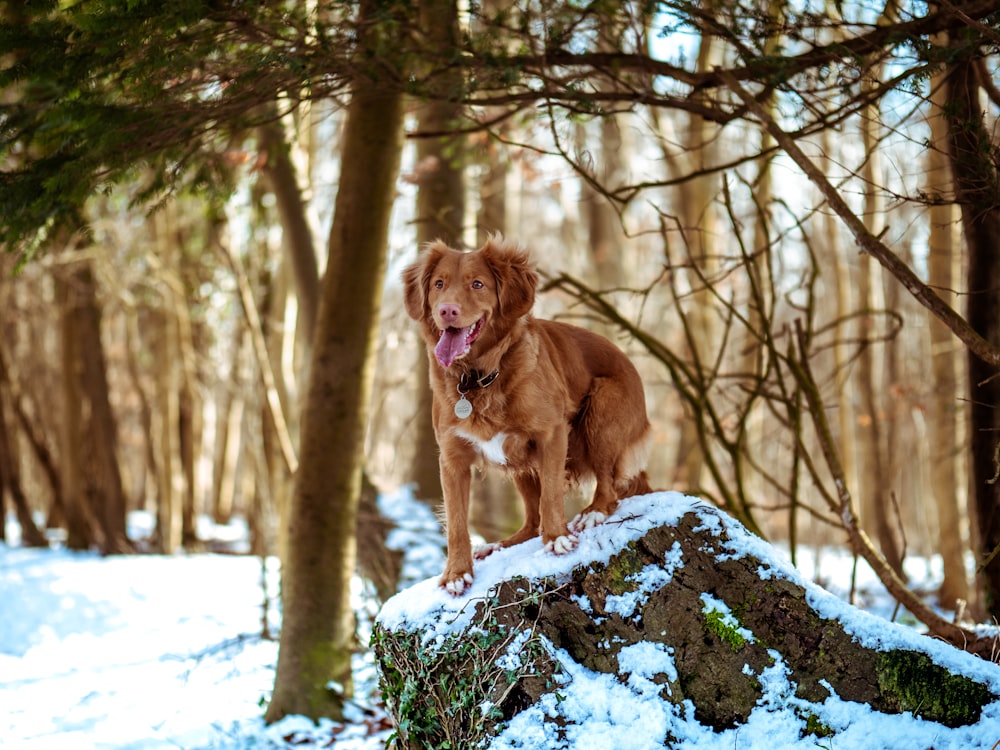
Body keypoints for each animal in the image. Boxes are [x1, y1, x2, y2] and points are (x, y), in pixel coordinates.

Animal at [402, 238, 652, 596]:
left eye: (477, 284)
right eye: (439, 284)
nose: (447, 310)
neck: (478, 377)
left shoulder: (552, 434)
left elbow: (551, 494)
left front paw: (557, 538)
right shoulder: (452, 458)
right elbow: (456, 522)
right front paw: (456, 572)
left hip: (602, 410)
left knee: (609, 487)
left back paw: (593, 512)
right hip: (518, 461)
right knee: (531, 521)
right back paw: (500, 544)